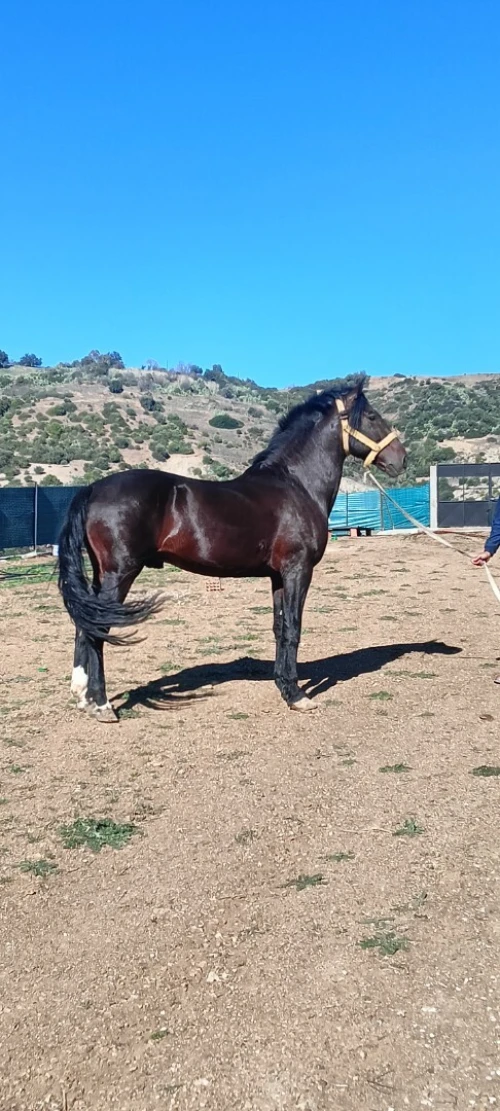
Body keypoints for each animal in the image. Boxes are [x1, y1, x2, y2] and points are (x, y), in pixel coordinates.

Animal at [58, 375, 406, 721]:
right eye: (372, 416)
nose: (402, 458)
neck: (295, 485)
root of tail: (92, 488)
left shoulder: (278, 576)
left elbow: (279, 628)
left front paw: (283, 685)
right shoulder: (298, 570)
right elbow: (294, 627)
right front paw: (298, 696)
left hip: (102, 574)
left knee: (84, 624)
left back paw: (83, 696)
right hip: (120, 573)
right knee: (97, 628)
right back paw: (102, 704)